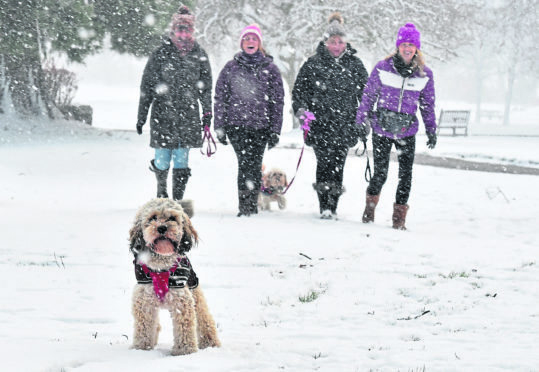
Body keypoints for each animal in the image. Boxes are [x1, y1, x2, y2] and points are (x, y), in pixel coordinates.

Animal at [130, 199, 220, 356]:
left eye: (172, 218)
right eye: (153, 218)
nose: (162, 228)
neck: (160, 267)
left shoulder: (181, 298)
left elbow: (184, 327)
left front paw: (185, 351)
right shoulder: (144, 300)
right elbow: (144, 327)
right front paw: (141, 348)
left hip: (195, 291)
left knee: (205, 319)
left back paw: (210, 342)